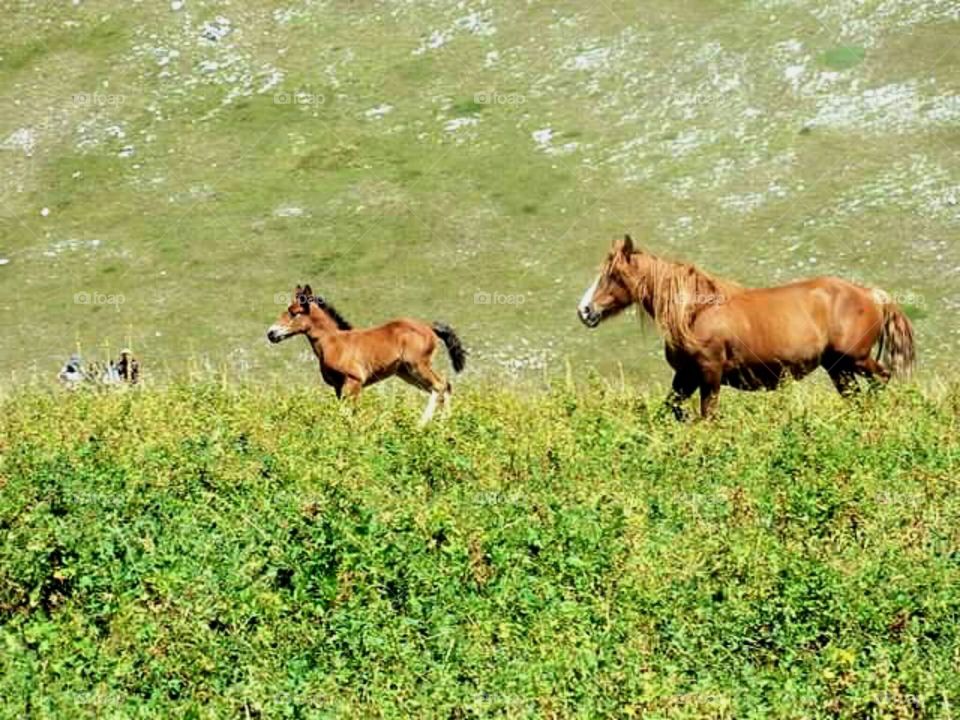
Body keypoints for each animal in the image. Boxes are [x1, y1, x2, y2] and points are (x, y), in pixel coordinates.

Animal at [267, 285, 467, 425]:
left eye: (294, 312)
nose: (271, 333)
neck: (334, 343)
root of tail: (429, 327)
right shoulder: (338, 387)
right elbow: (344, 412)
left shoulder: (354, 381)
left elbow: (347, 414)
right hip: (406, 372)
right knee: (443, 386)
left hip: (418, 365)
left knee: (440, 386)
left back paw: (424, 424)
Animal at [578, 234, 916, 419]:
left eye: (613, 275)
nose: (585, 310)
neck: (694, 311)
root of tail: (873, 294)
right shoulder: (685, 376)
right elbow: (670, 410)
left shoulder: (708, 374)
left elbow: (707, 417)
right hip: (838, 367)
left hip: (855, 360)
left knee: (882, 378)